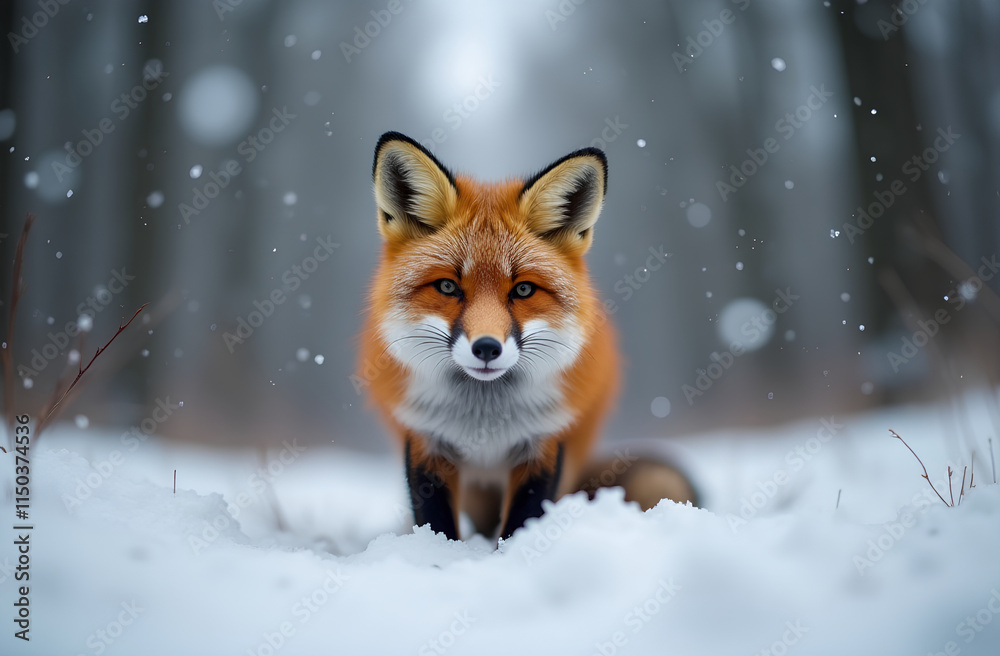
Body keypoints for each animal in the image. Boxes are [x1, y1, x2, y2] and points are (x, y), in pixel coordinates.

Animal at [359, 131, 695, 542]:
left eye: (522, 290)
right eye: (448, 287)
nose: (487, 348)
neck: (483, 418)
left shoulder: (545, 443)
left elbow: (523, 522)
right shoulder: (426, 441)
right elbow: (436, 525)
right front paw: (439, 553)